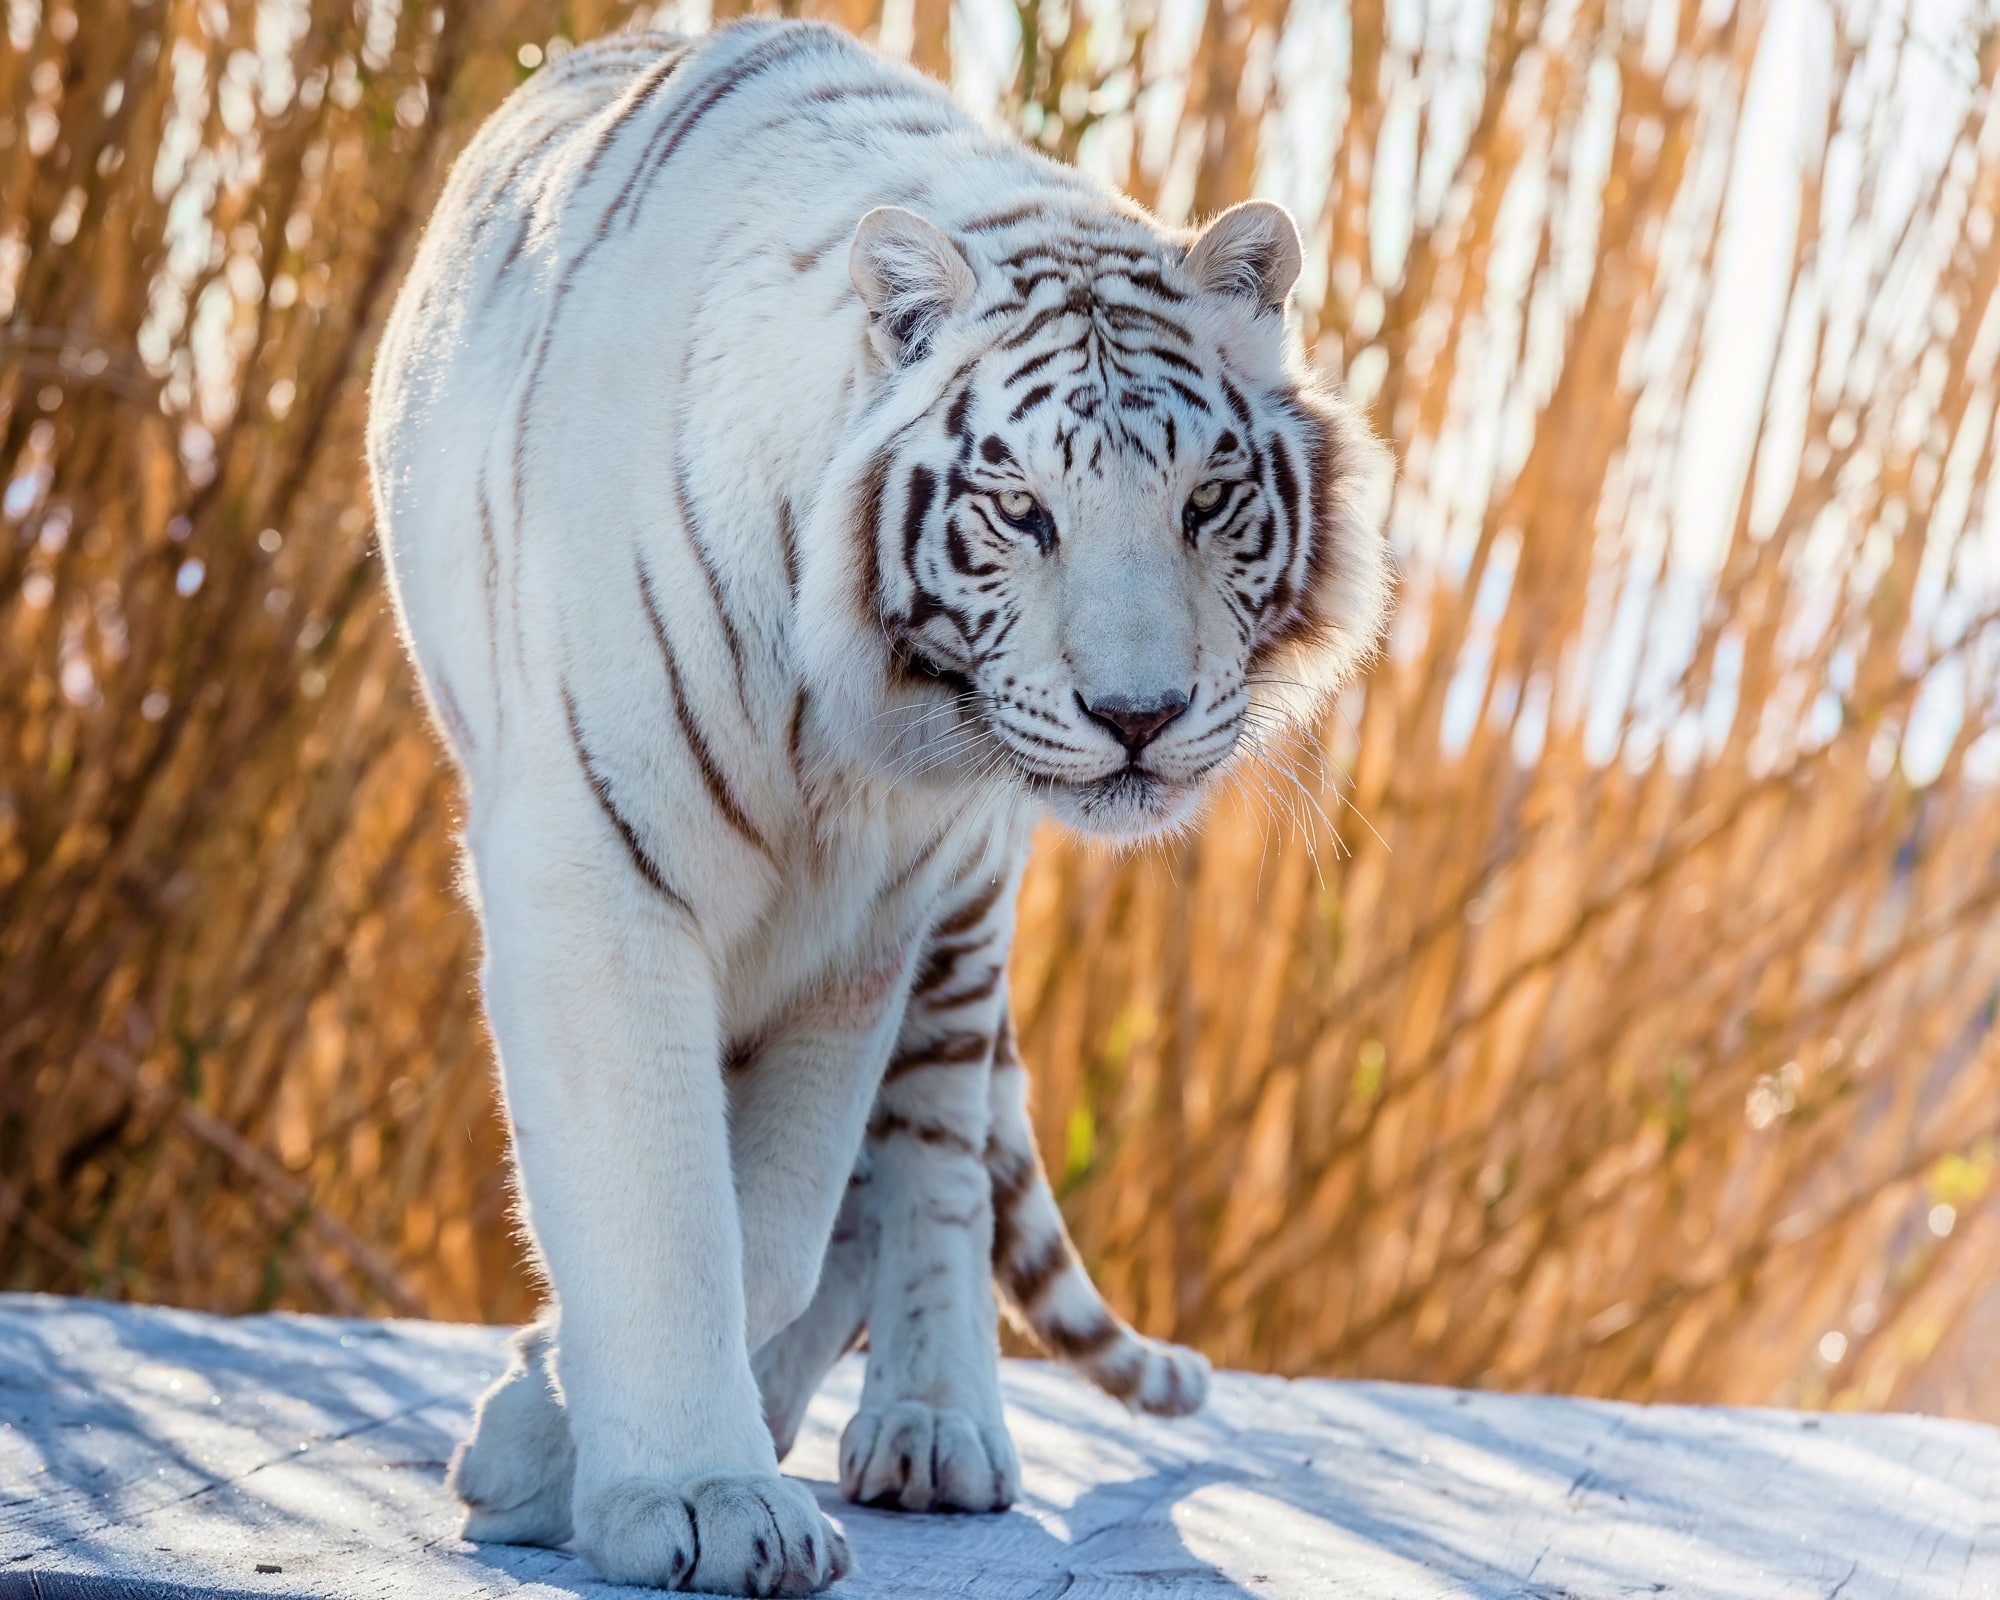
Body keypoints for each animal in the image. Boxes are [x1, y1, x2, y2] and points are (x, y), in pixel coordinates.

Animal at [366, 17, 1390, 1595]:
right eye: (1019, 507)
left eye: (1205, 500)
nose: (1140, 715)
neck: (847, 726)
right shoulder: (601, 876)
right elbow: (662, 1205)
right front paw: (697, 1496)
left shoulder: (865, 932)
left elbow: (778, 1227)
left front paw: (551, 1436)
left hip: (960, 932)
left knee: (936, 1161)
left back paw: (936, 1425)